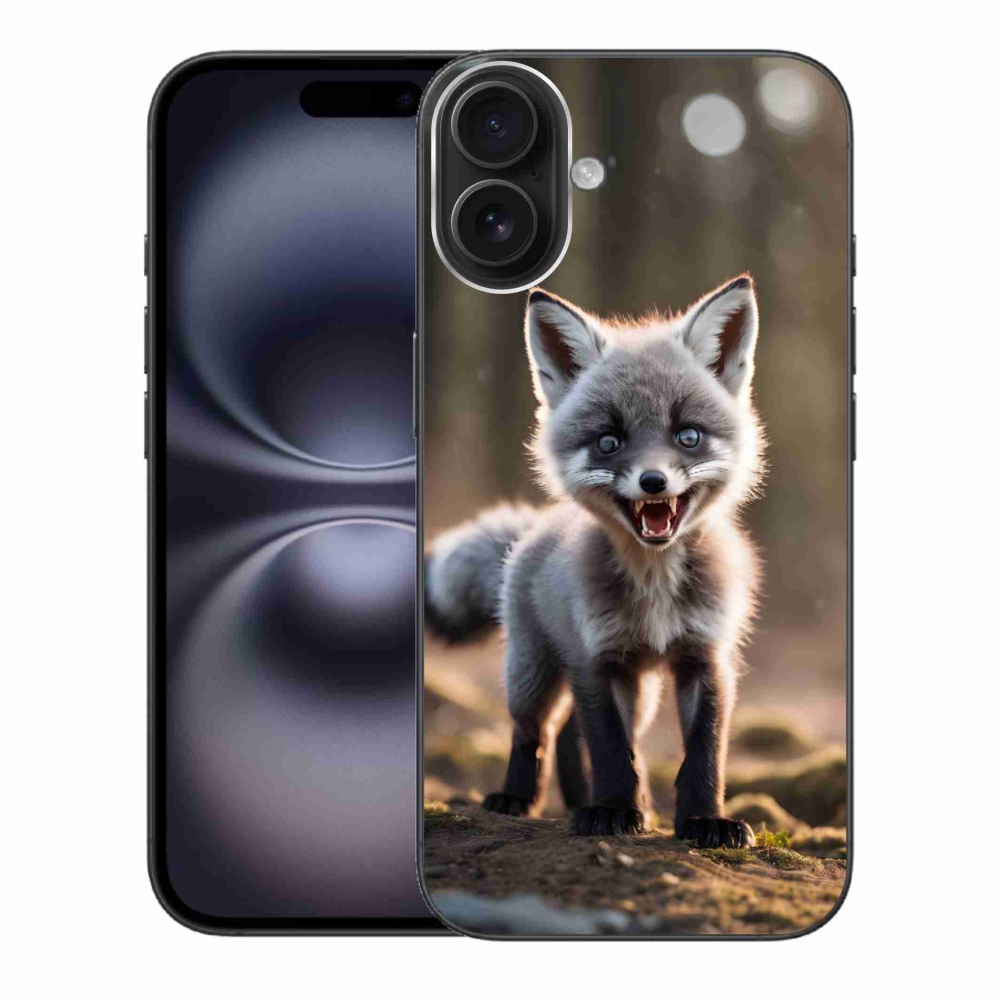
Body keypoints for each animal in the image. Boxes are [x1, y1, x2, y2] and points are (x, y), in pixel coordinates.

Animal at [425, 276, 765, 849]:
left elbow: (704, 755)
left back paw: (586, 798)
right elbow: (609, 750)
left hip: (639, 690)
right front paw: (611, 811)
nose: (653, 481)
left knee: (570, 733)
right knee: (534, 731)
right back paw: (518, 798)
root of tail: (533, 529)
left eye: (688, 436)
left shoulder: (706, 657)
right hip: (533, 674)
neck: (655, 588)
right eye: (609, 441)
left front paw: (703, 821)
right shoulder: (597, 659)